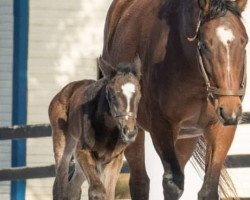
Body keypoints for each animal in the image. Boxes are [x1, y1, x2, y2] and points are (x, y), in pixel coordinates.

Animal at [48, 56, 142, 200]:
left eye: (139, 95)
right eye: (112, 95)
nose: (130, 132)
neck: (107, 130)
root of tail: (64, 90)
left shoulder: (114, 159)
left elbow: (108, 193)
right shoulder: (82, 151)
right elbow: (97, 191)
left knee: (72, 189)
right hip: (62, 144)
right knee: (60, 184)